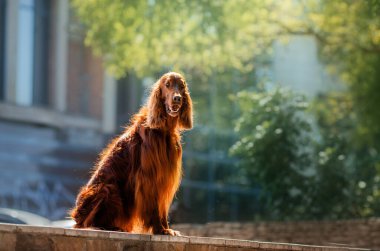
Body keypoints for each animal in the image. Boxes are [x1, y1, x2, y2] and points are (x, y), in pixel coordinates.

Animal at [70, 72, 193, 235]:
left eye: (181, 85)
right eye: (167, 85)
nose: (177, 99)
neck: (163, 130)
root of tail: (77, 220)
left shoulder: (165, 177)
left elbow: (162, 208)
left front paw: (166, 229)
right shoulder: (149, 178)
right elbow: (155, 207)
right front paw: (159, 229)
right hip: (107, 188)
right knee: (88, 223)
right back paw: (107, 227)